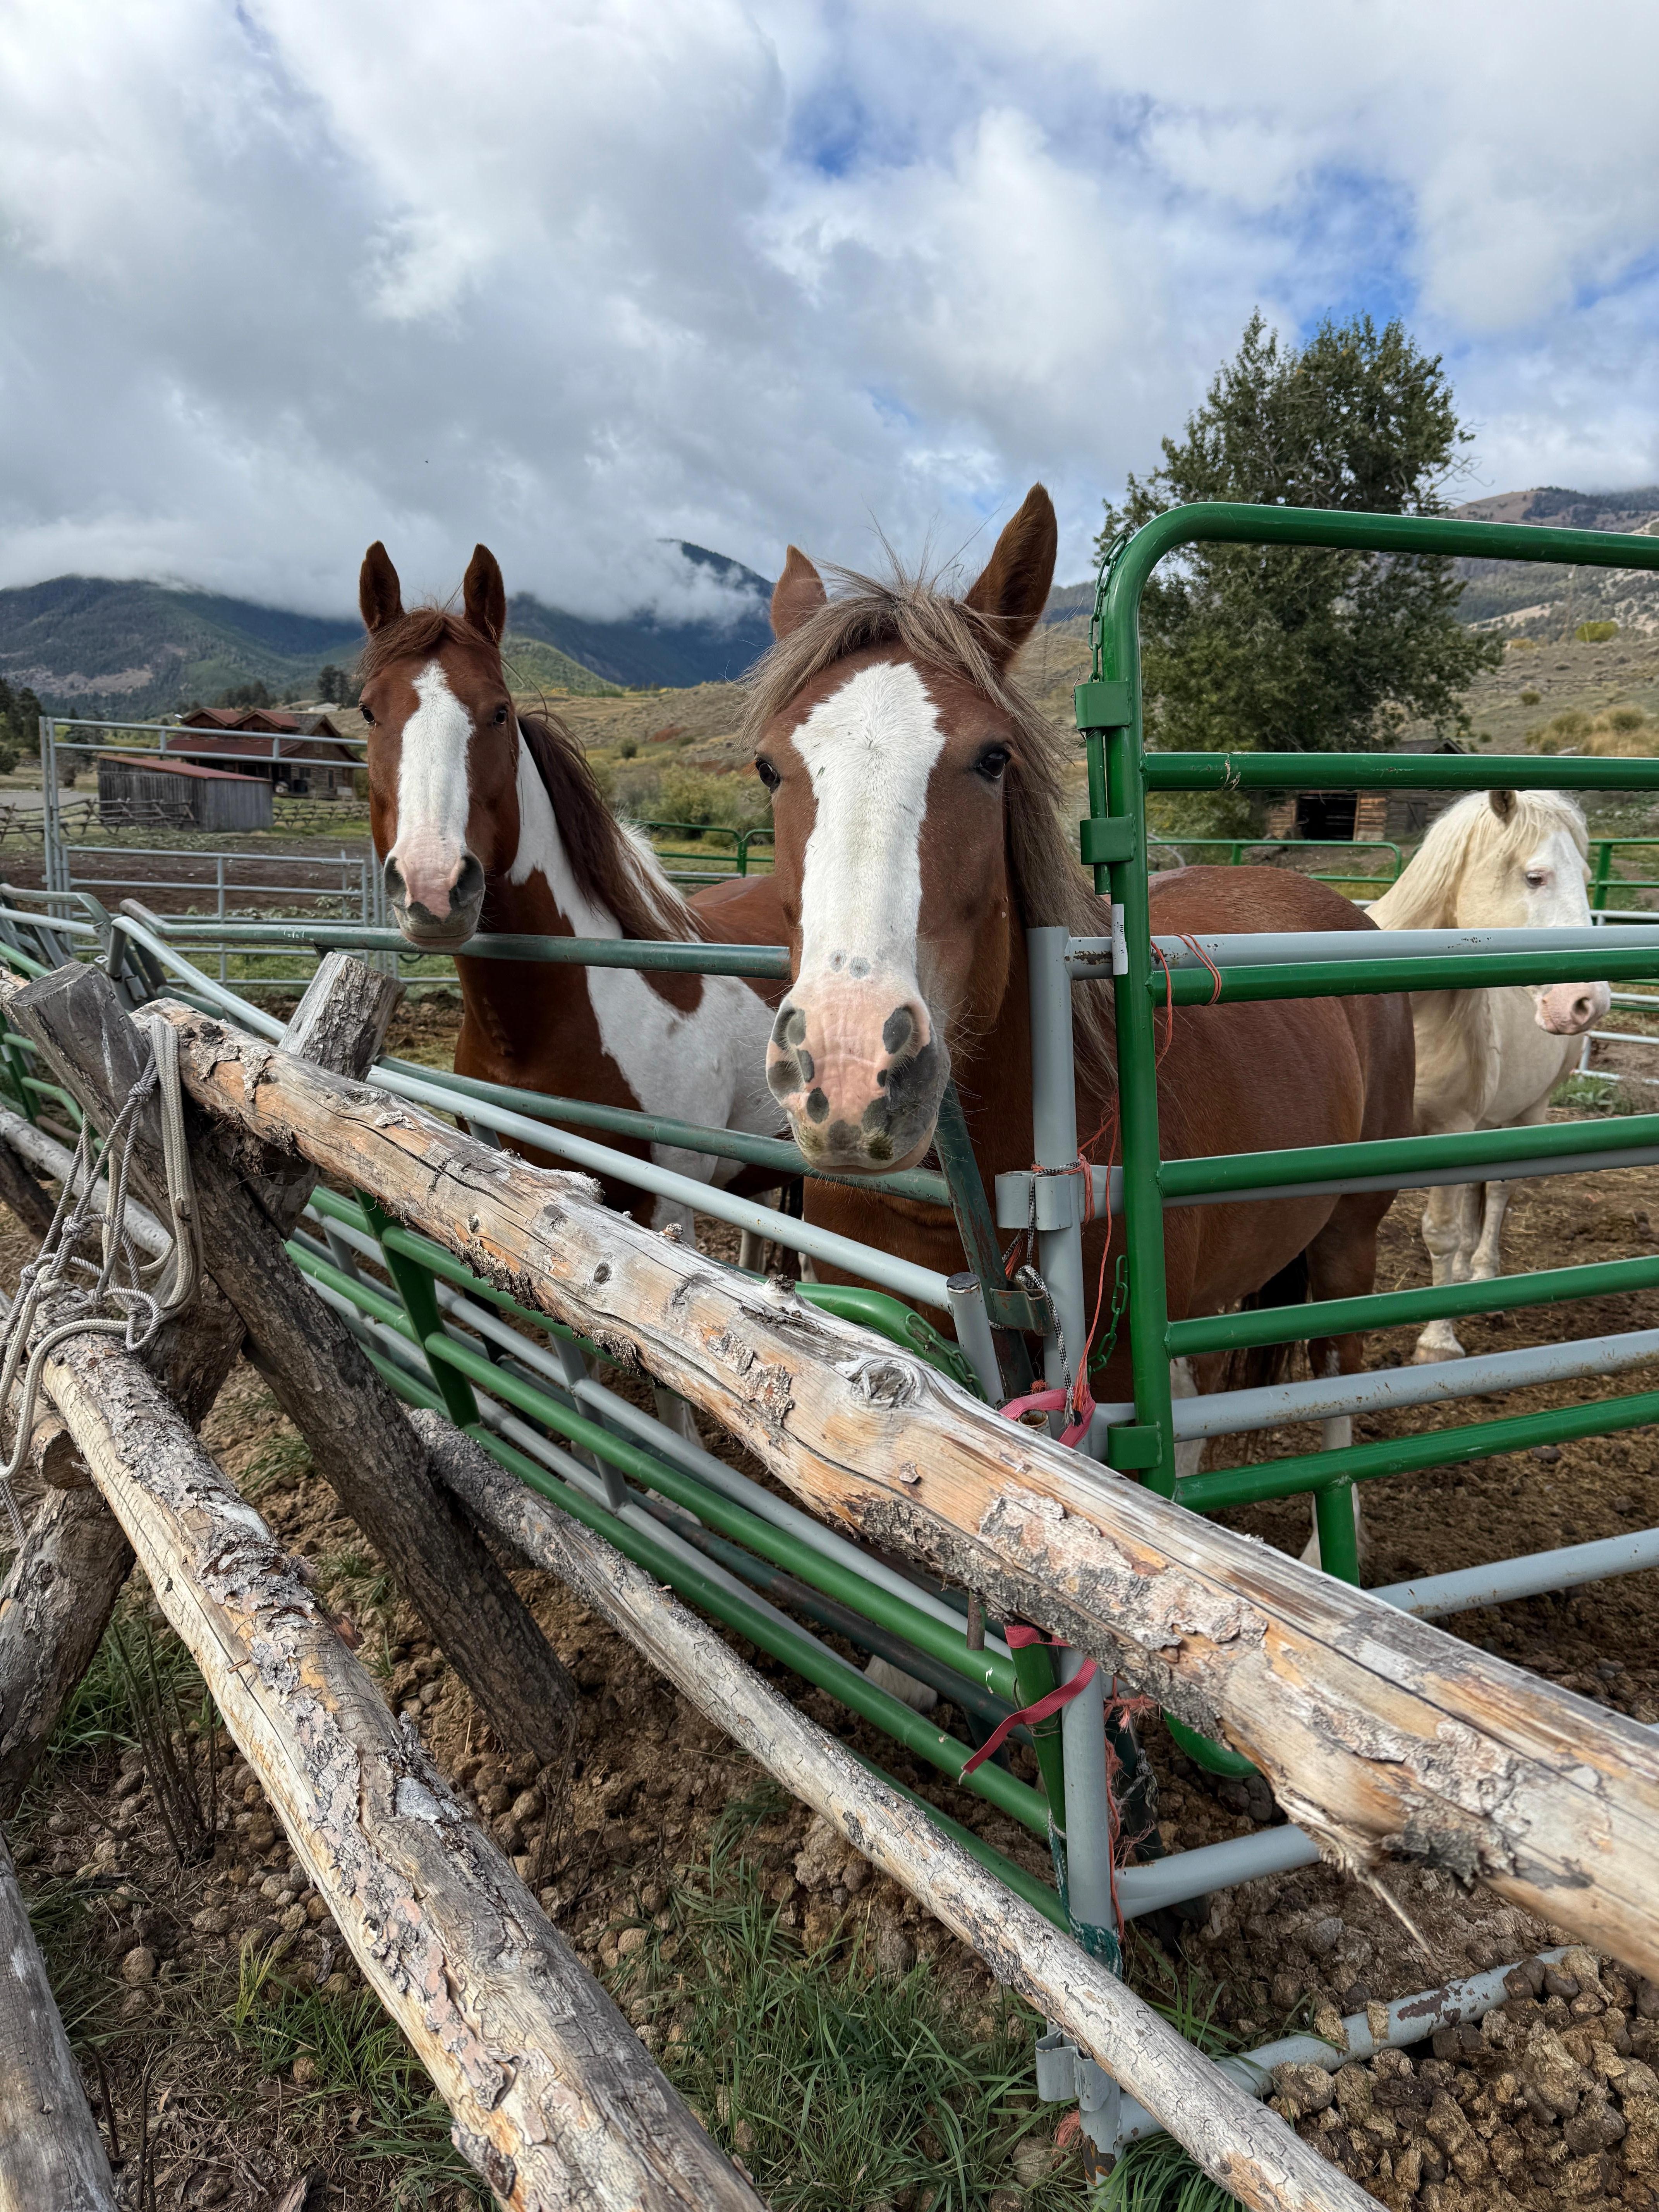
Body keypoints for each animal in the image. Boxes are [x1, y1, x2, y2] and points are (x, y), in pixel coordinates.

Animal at [1367, 788, 1610, 1362]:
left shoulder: (1449, 1130)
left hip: (1526, 1113)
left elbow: (1442, 1233)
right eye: (1535, 877)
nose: (1589, 1002)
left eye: (1586, 877)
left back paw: (1482, 1283)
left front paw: (1437, 1344)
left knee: (1496, 1195)